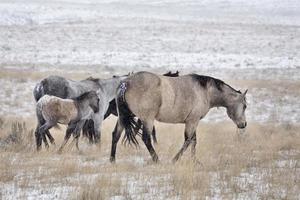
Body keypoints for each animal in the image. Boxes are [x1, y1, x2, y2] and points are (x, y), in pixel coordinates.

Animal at [110, 72, 248, 162]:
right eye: (245, 106)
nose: (244, 124)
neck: (205, 91)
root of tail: (126, 83)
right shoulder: (192, 121)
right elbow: (188, 141)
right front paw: (175, 160)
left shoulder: (193, 121)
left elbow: (193, 141)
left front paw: (194, 161)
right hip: (147, 119)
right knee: (146, 139)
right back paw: (157, 160)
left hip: (123, 117)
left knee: (115, 135)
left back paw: (112, 160)